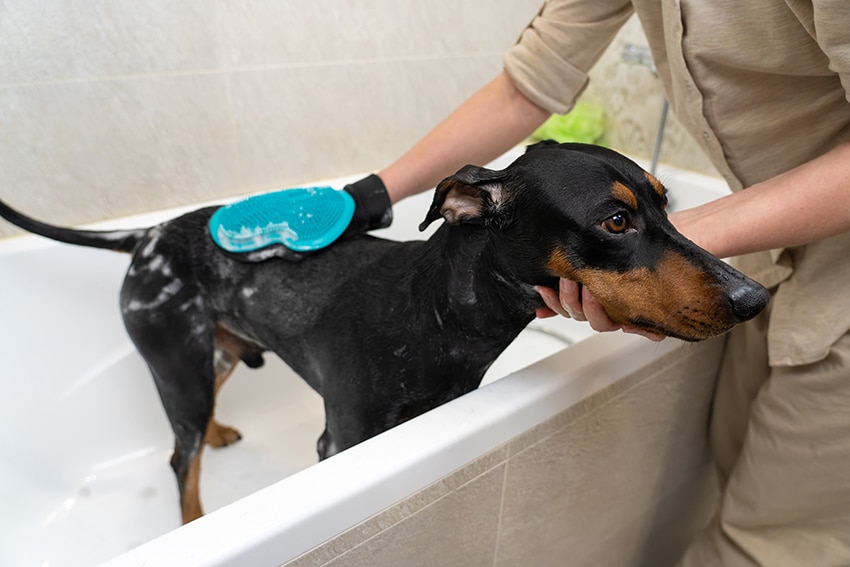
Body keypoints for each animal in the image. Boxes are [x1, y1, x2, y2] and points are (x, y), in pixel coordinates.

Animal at [0, 142, 768, 524]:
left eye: (667, 205)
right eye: (616, 220)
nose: (755, 296)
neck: (434, 314)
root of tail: (148, 235)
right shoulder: (341, 443)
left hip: (211, 354)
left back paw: (219, 432)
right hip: (176, 365)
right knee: (178, 463)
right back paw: (194, 521)